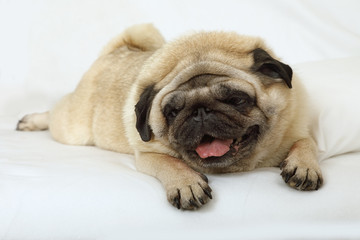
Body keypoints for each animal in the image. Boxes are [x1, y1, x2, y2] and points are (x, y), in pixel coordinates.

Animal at [16, 23, 322, 209]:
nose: (200, 112)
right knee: (55, 114)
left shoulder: (297, 128)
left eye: (236, 100)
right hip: (74, 127)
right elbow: (170, 163)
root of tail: (119, 50)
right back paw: (32, 120)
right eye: (172, 112)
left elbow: (306, 143)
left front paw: (304, 165)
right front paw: (186, 184)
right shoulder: (147, 154)